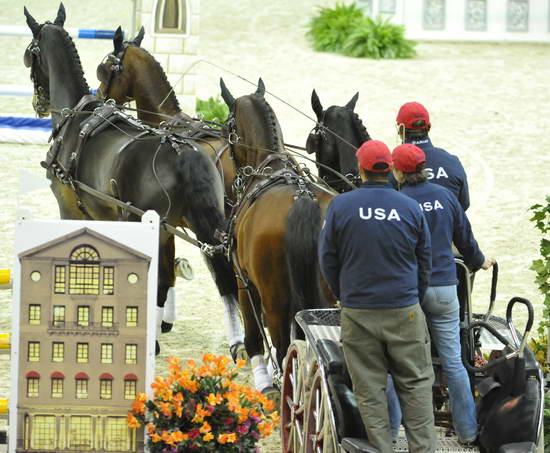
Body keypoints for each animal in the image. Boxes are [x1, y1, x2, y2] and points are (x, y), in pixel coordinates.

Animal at [219, 78, 336, 396]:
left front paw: (263, 381)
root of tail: (303, 200)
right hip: (327, 298)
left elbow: (253, 336)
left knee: (284, 351)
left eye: (228, 126)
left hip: (274, 299)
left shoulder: (243, 280)